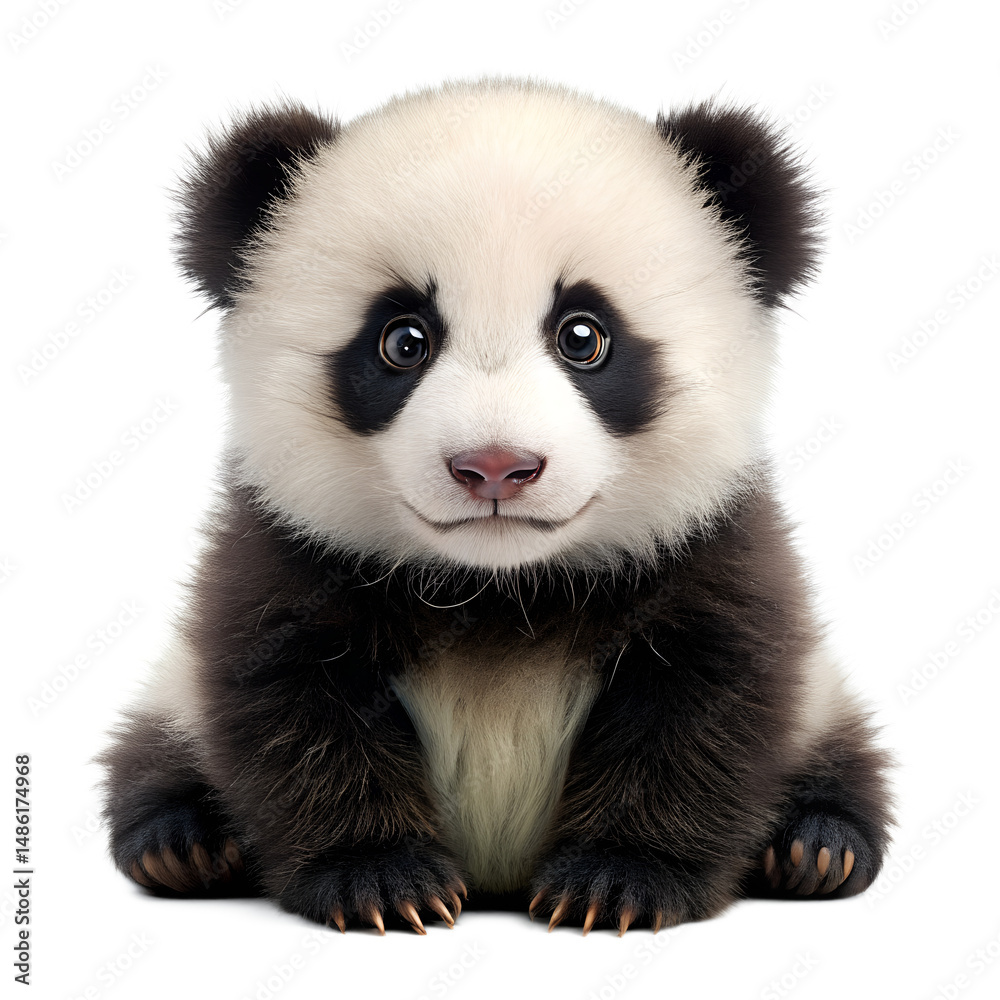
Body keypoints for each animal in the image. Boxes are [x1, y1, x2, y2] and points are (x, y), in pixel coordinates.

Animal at [100, 77, 893, 936]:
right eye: (402, 341)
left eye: (584, 335)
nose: (494, 468)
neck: (500, 591)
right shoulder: (286, 555)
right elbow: (293, 709)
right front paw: (380, 878)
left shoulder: (711, 549)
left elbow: (706, 707)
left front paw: (621, 878)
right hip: (171, 697)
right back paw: (182, 843)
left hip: (825, 705)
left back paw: (815, 846)